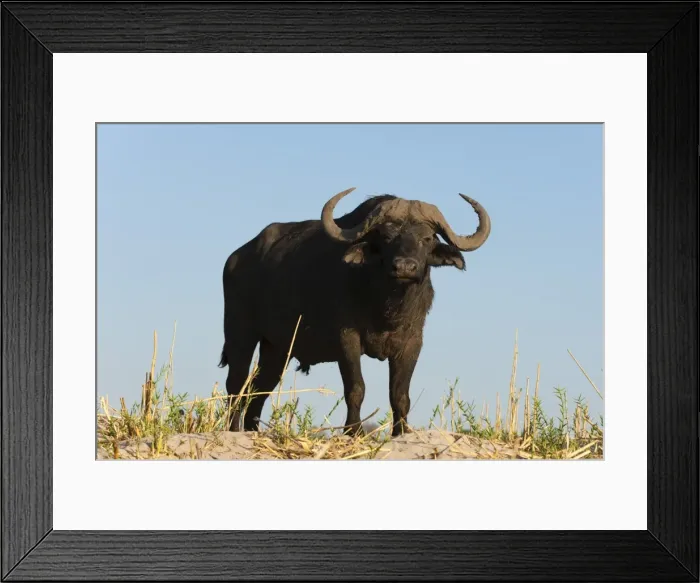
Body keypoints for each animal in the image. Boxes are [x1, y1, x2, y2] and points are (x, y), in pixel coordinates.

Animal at [219, 187, 491, 436]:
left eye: (427, 238)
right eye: (386, 237)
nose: (404, 266)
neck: (385, 306)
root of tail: (235, 258)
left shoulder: (411, 342)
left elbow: (400, 394)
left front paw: (401, 431)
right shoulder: (346, 339)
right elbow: (356, 388)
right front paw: (353, 430)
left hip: (277, 348)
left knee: (259, 389)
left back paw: (252, 431)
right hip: (240, 333)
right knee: (236, 383)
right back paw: (233, 429)